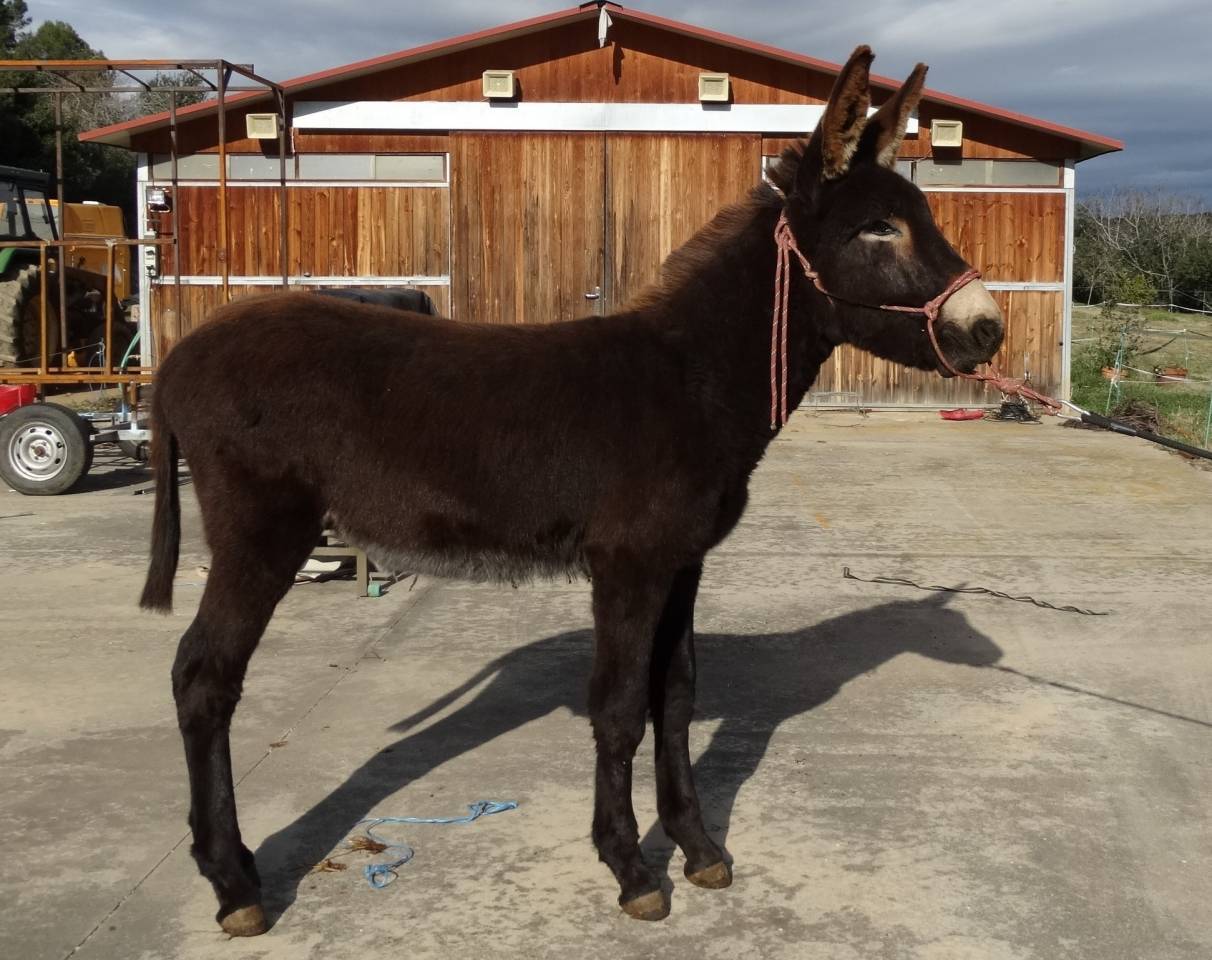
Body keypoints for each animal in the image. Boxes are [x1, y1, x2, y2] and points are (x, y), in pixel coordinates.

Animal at [140, 46, 1005, 936]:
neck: (691, 378)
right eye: (879, 229)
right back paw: (233, 882)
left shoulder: (681, 561)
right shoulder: (626, 563)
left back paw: (236, 866)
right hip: (261, 528)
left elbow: (675, 697)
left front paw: (697, 847)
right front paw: (630, 866)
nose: (988, 329)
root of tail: (178, 360)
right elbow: (619, 708)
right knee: (203, 677)